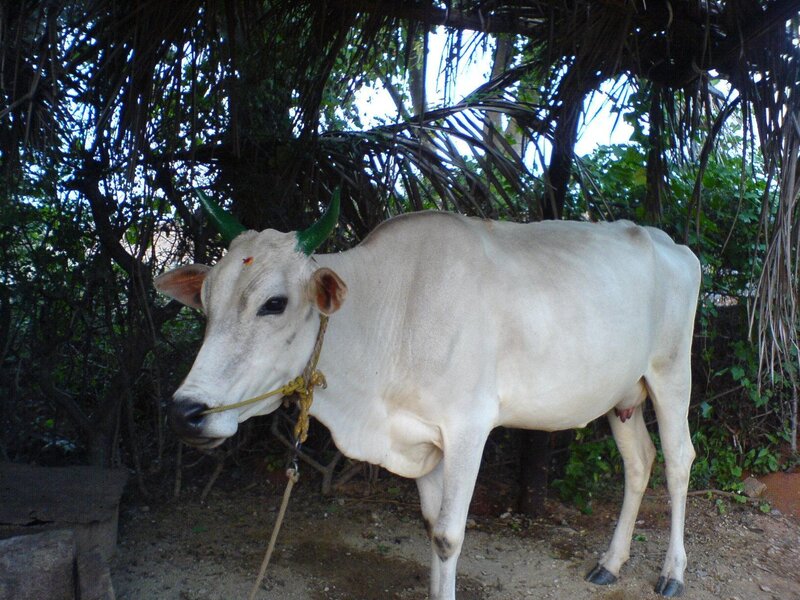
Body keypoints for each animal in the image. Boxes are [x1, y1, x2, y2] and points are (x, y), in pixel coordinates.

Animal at [155, 194, 700, 599]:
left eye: (274, 303)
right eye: (205, 304)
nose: (185, 412)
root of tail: (671, 243)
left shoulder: (468, 429)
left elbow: (447, 536)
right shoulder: (421, 437)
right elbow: (430, 526)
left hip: (671, 373)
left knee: (677, 460)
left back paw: (672, 573)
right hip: (623, 396)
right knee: (639, 461)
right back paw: (611, 562)